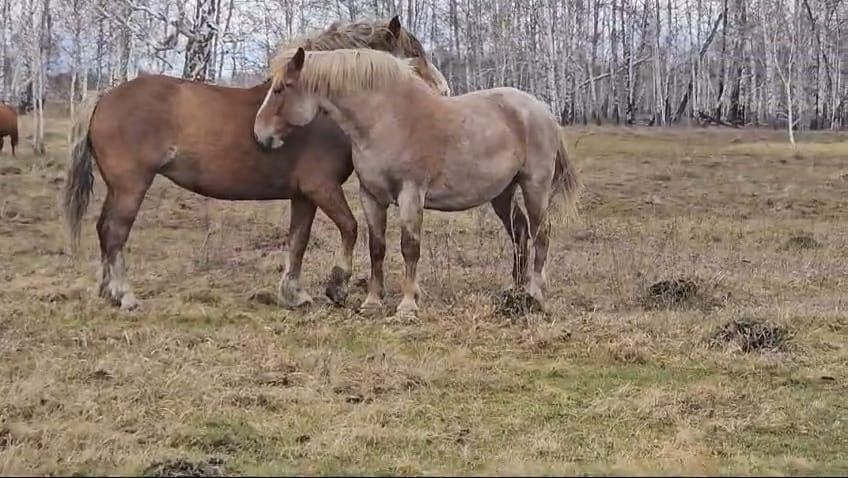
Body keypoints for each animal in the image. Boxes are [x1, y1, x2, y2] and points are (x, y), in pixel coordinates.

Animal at [61, 15, 450, 310]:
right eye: (414, 56)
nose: (443, 92)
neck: (321, 111)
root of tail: (105, 96)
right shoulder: (321, 187)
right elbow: (350, 228)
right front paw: (337, 285)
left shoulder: (303, 195)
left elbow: (298, 241)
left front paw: (294, 293)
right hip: (131, 185)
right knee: (115, 231)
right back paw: (125, 295)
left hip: (118, 187)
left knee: (103, 229)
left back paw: (107, 291)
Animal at [253, 47, 584, 318]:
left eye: (280, 88)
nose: (260, 135)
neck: (387, 119)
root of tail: (544, 111)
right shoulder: (371, 195)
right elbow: (377, 247)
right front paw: (372, 302)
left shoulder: (411, 194)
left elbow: (409, 246)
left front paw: (407, 306)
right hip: (502, 192)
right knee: (520, 231)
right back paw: (514, 290)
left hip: (534, 186)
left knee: (541, 233)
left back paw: (535, 294)